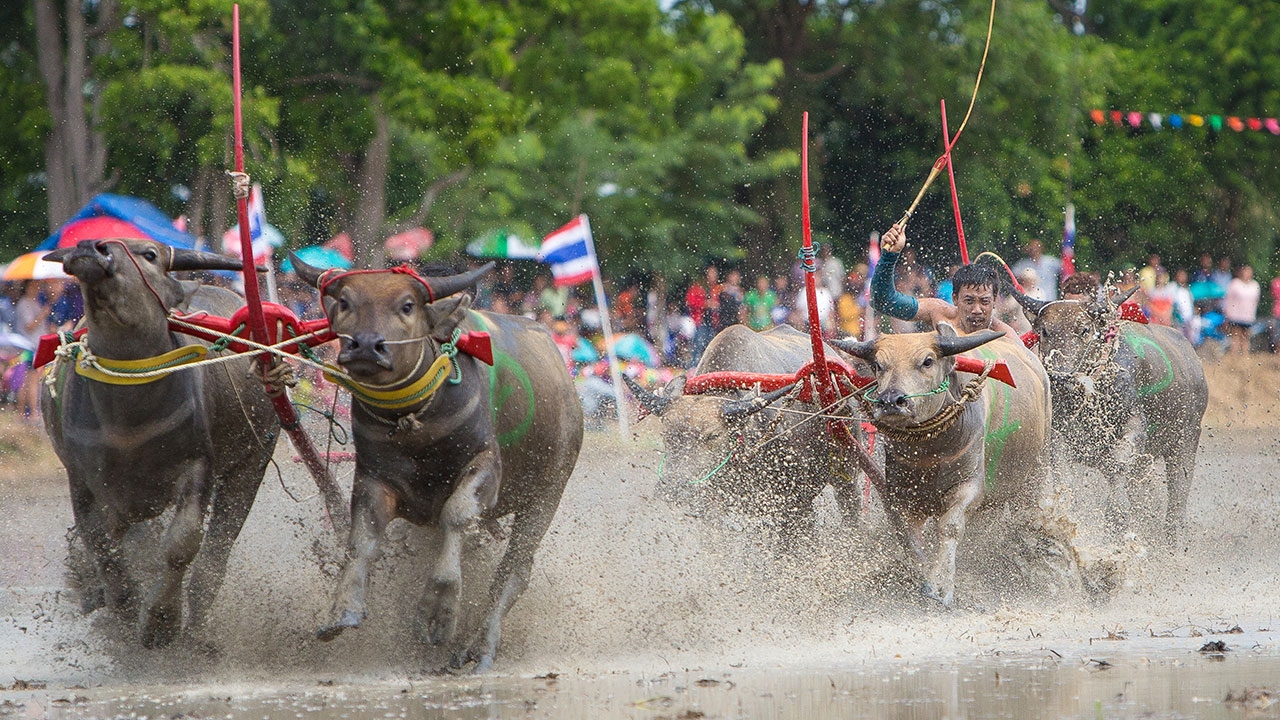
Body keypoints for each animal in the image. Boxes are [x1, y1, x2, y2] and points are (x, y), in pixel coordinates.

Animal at [38, 237, 279, 645]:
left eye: (149, 255)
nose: (92, 248)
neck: (128, 414)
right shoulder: (82, 478)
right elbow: (101, 546)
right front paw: (123, 606)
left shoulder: (197, 464)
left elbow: (183, 542)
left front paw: (161, 620)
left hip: (252, 463)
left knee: (217, 550)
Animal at [291, 254, 586, 671]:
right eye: (345, 302)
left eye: (407, 306)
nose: (366, 346)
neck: (414, 424)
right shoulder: (374, 477)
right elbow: (362, 537)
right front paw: (341, 609)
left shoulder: (486, 468)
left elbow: (457, 515)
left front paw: (437, 612)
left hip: (546, 492)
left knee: (515, 569)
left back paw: (480, 648)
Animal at [834, 322, 1054, 602]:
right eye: (877, 365)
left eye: (927, 361)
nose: (891, 401)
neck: (931, 453)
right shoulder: (903, 496)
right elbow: (910, 538)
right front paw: (925, 575)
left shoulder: (969, 488)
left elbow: (949, 528)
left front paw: (942, 585)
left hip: (1036, 472)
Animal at [1008, 285, 1208, 543]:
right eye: (1044, 330)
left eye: (1084, 329)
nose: (1060, 377)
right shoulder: (1061, 435)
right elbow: (1064, 476)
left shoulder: (1134, 425)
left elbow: (1118, 466)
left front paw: (1116, 517)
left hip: (1185, 443)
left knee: (1177, 499)